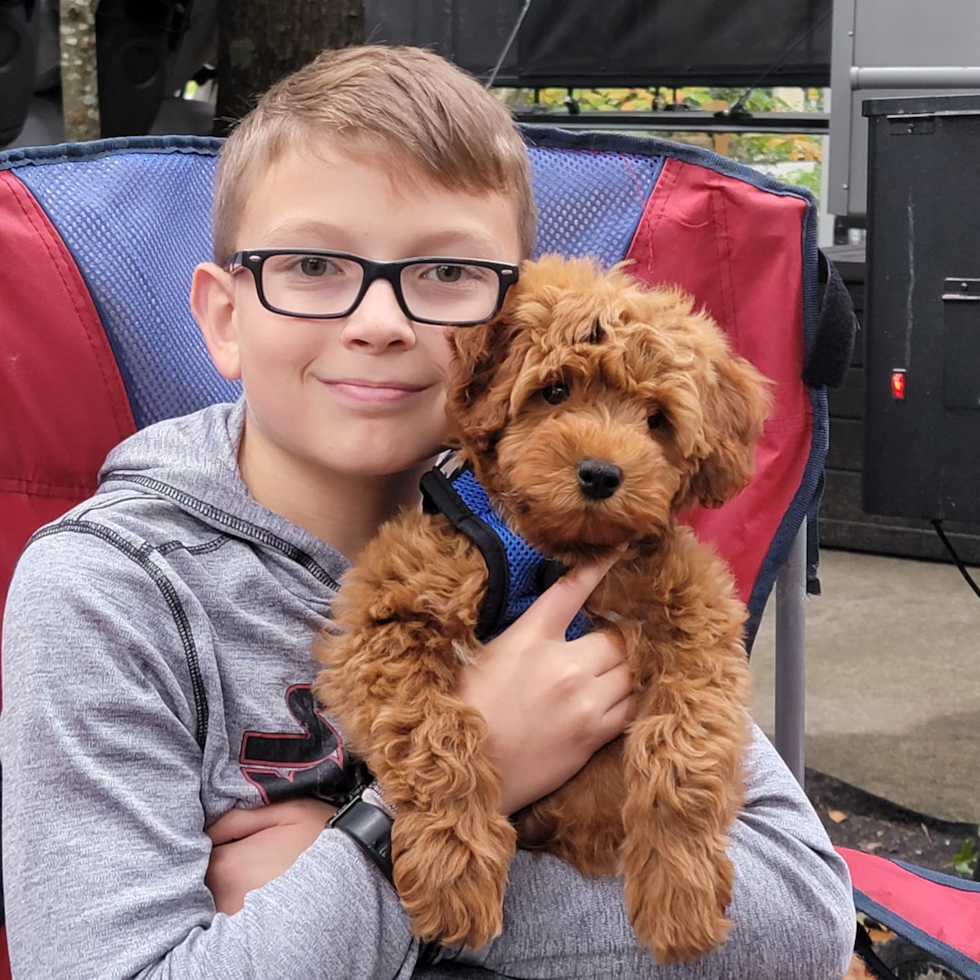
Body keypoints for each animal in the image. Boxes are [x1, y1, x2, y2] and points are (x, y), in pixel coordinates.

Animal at [314, 255, 772, 964]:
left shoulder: (698, 622)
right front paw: (454, 875)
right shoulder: (389, 612)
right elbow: (436, 733)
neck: (556, 550)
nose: (600, 474)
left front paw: (681, 892)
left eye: (657, 419)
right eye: (554, 391)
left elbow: (683, 746)